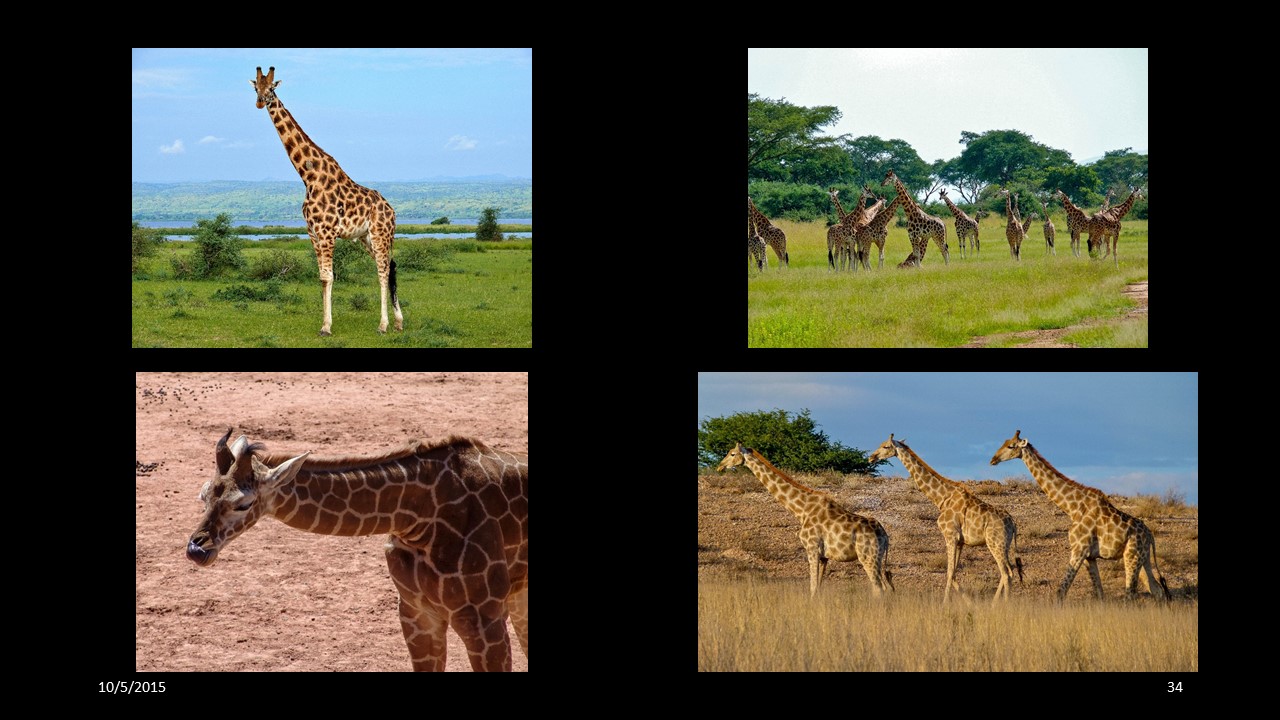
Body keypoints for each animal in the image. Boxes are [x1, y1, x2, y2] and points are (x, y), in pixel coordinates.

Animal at [187, 429, 529, 671]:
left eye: (242, 504)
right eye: (203, 494)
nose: (196, 550)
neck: (418, 517)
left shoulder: (484, 618)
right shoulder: (415, 611)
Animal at [251, 67, 403, 337]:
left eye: (271, 88)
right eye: (255, 87)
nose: (260, 102)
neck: (307, 176)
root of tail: (392, 210)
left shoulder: (327, 232)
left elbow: (330, 276)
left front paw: (326, 327)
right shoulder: (312, 232)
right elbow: (322, 277)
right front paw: (324, 324)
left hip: (380, 233)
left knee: (383, 270)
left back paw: (383, 325)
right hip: (366, 237)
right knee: (390, 266)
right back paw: (398, 322)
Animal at [716, 443, 893, 596]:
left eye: (732, 454)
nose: (720, 466)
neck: (801, 510)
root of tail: (884, 535)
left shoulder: (812, 548)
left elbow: (813, 588)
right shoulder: (824, 557)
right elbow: (818, 588)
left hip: (867, 556)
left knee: (879, 589)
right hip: (878, 557)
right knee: (887, 586)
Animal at [869, 434, 1022, 603]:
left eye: (885, 446)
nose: (871, 457)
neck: (942, 499)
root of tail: (1012, 523)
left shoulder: (950, 536)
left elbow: (949, 573)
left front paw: (945, 603)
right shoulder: (960, 542)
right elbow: (953, 573)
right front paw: (970, 603)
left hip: (995, 543)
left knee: (1006, 573)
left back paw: (1003, 604)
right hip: (1004, 544)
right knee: (1009, 571)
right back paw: (995, 604)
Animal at [989, 430, 1168, 602]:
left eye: (1011, 446)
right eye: (1004, 442)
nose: (993, 459)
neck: (1073, 508)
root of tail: (1150, 535)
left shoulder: (1079, 550)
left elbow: (1061, 592)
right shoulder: (1090, 557)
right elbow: (1099, 594)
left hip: (1132, 556)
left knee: (1131, 594)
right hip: (1142, 558)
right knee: (1157, 590)